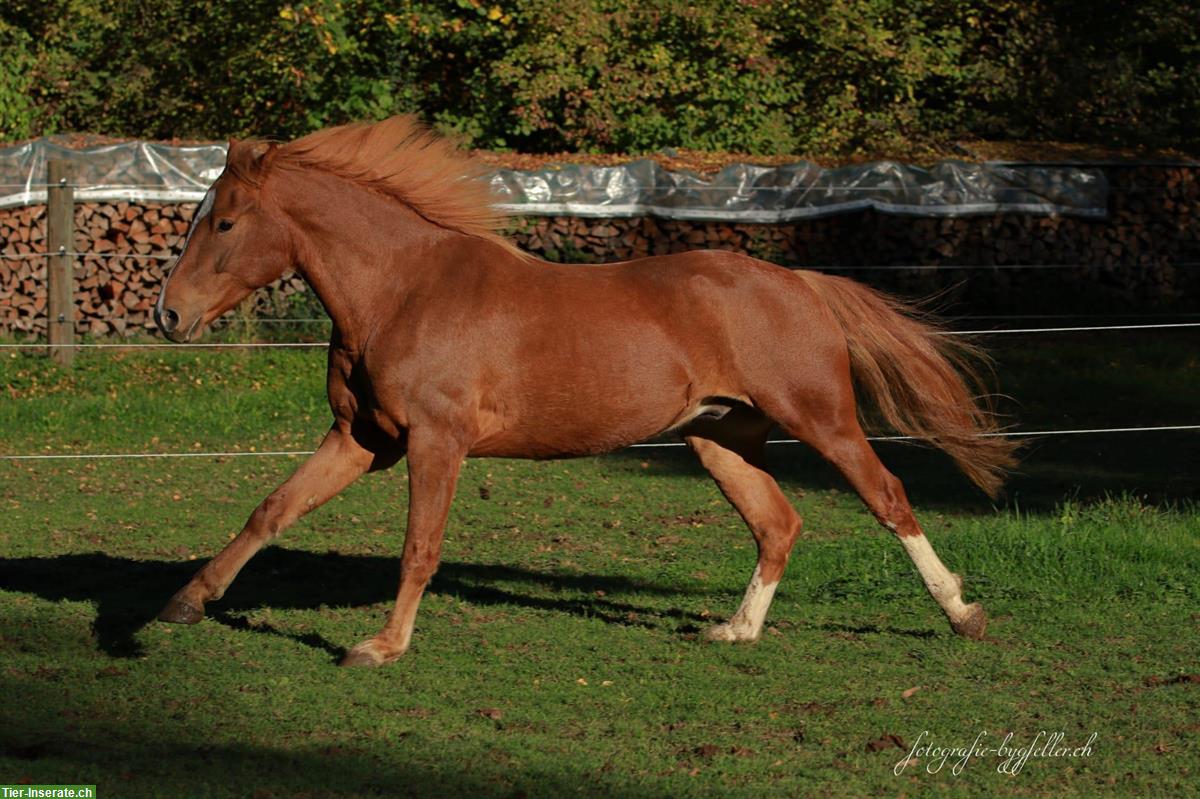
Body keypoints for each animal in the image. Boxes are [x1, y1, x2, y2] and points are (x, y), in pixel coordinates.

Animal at [150, 116, 1012, 667]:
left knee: (888, 496)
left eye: (225, 223)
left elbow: (420, 546)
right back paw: (734, 632)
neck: (401, 290)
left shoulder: (436, 442)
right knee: (778, 523)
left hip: (822, 419)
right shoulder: (362, 440)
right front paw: (184, 603)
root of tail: (799, 281)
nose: (168, 314)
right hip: (720, 436)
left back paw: (965, 614)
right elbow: (271, 508)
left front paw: (380, 647)